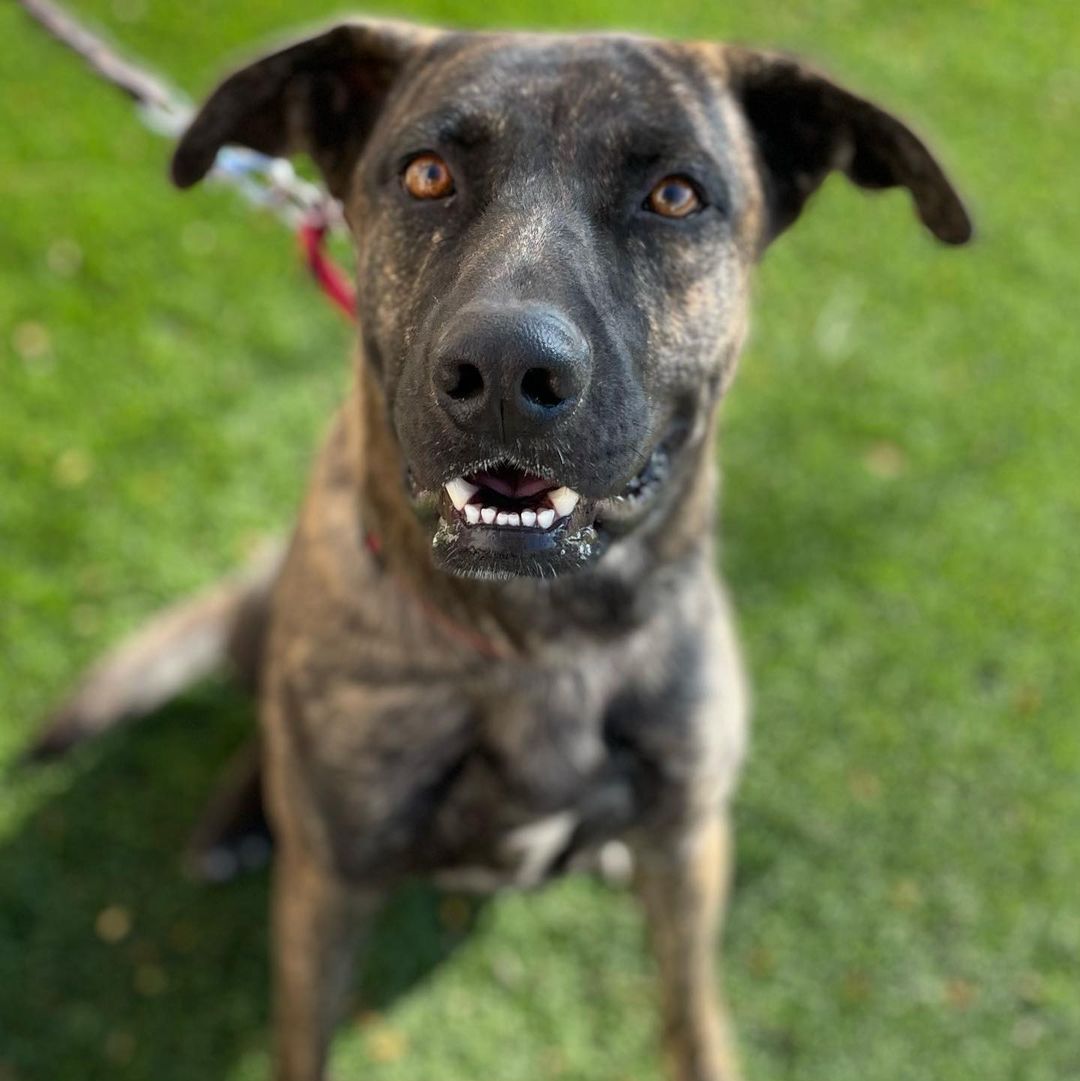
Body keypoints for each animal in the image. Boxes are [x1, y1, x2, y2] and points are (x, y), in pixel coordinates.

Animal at [35, 16, 981, 1081]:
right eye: (427, 176)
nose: (502, 371)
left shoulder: (690, 843)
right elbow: (301, 1035)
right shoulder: (328, 893)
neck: (544, 643)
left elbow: (693, 1020)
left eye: (675, 195)